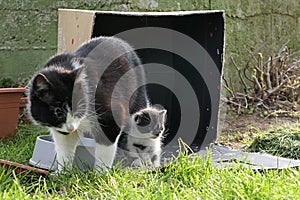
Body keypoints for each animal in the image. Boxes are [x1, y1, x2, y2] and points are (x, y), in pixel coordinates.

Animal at [27, 36, 150, 171]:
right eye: (57, 112)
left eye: (78, 109)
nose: (71, 128)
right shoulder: (62, 132)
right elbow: (64, 149)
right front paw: (62, 172)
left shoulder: (110, 114)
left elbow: (105, 150)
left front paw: (100, 173)